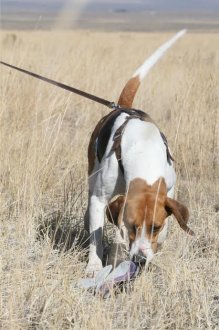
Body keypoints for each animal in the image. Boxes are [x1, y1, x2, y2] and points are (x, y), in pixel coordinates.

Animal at [84, 73, 194, 276]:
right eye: (131, 226)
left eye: (155, 227)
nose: (141, 260)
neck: (145, 155)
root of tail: (122, 106)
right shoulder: (100, 199)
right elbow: (96, 236)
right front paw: (94, 267)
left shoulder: (170, 189)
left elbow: (165, 230)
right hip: (92, 173)